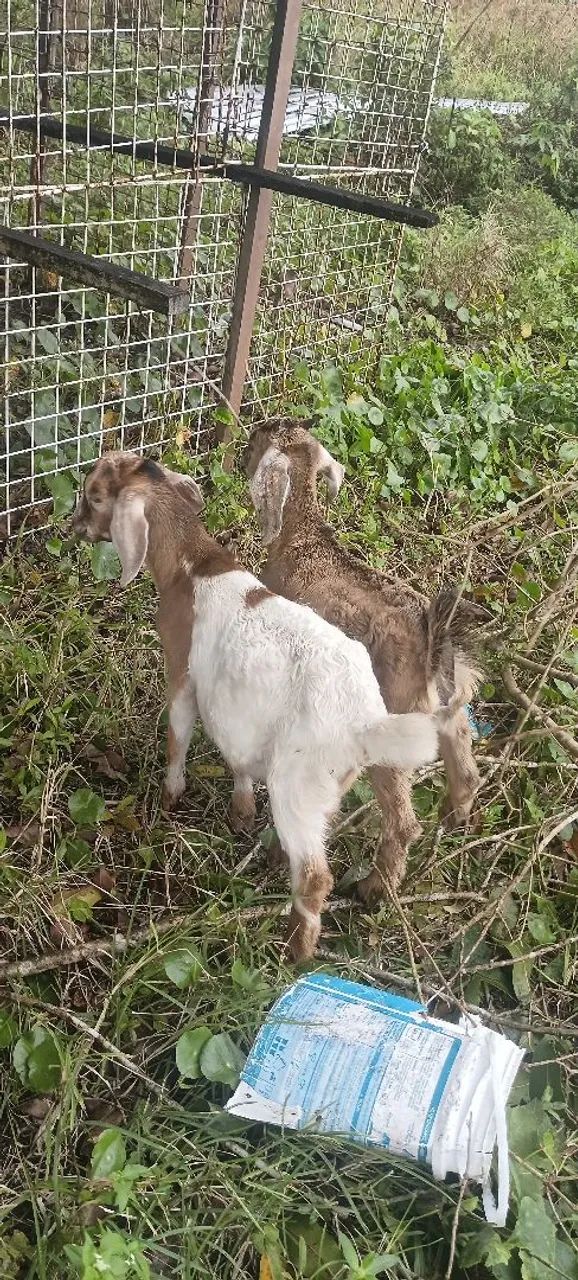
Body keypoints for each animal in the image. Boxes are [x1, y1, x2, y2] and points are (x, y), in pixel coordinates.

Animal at [71, 451, 440, 960]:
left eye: (94, 496)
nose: (73, 527)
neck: (193, 566)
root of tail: (364, 722)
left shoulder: (182, 671)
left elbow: (178, 735)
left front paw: (169, 797)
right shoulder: (237, 707)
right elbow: (238, 756)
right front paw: (242, 812)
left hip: (297, 780)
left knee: (315, 875)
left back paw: (295, 952)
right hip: (331, 782)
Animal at [243, 420, 481, 903]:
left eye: (260, 438)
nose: (240, 454)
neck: (305, 540)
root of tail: (431, 651)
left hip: (391, 728)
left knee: (403, 821)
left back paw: (376, 888)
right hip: (449, 711)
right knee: (463, 762)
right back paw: (455, 817)